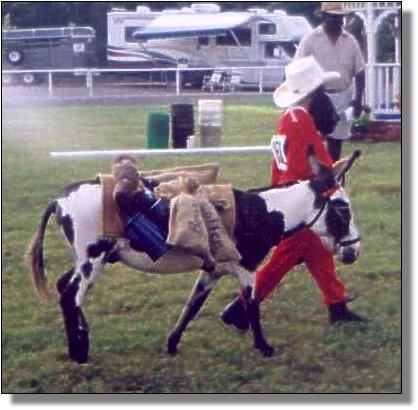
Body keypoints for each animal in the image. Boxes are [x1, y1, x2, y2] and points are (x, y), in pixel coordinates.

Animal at [27, 150, 362, 363]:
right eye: (342, 208)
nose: (354, 249)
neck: (262, 211)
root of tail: (60, 199)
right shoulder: (247, 269)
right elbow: (252, 304)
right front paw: (264, 347)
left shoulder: (212, 271)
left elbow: (192, 306)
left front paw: (172, 344)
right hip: (92, 261)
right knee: (70, 296)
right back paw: (79, 352)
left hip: (85, 261)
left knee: (63, 287)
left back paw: (80, 343)